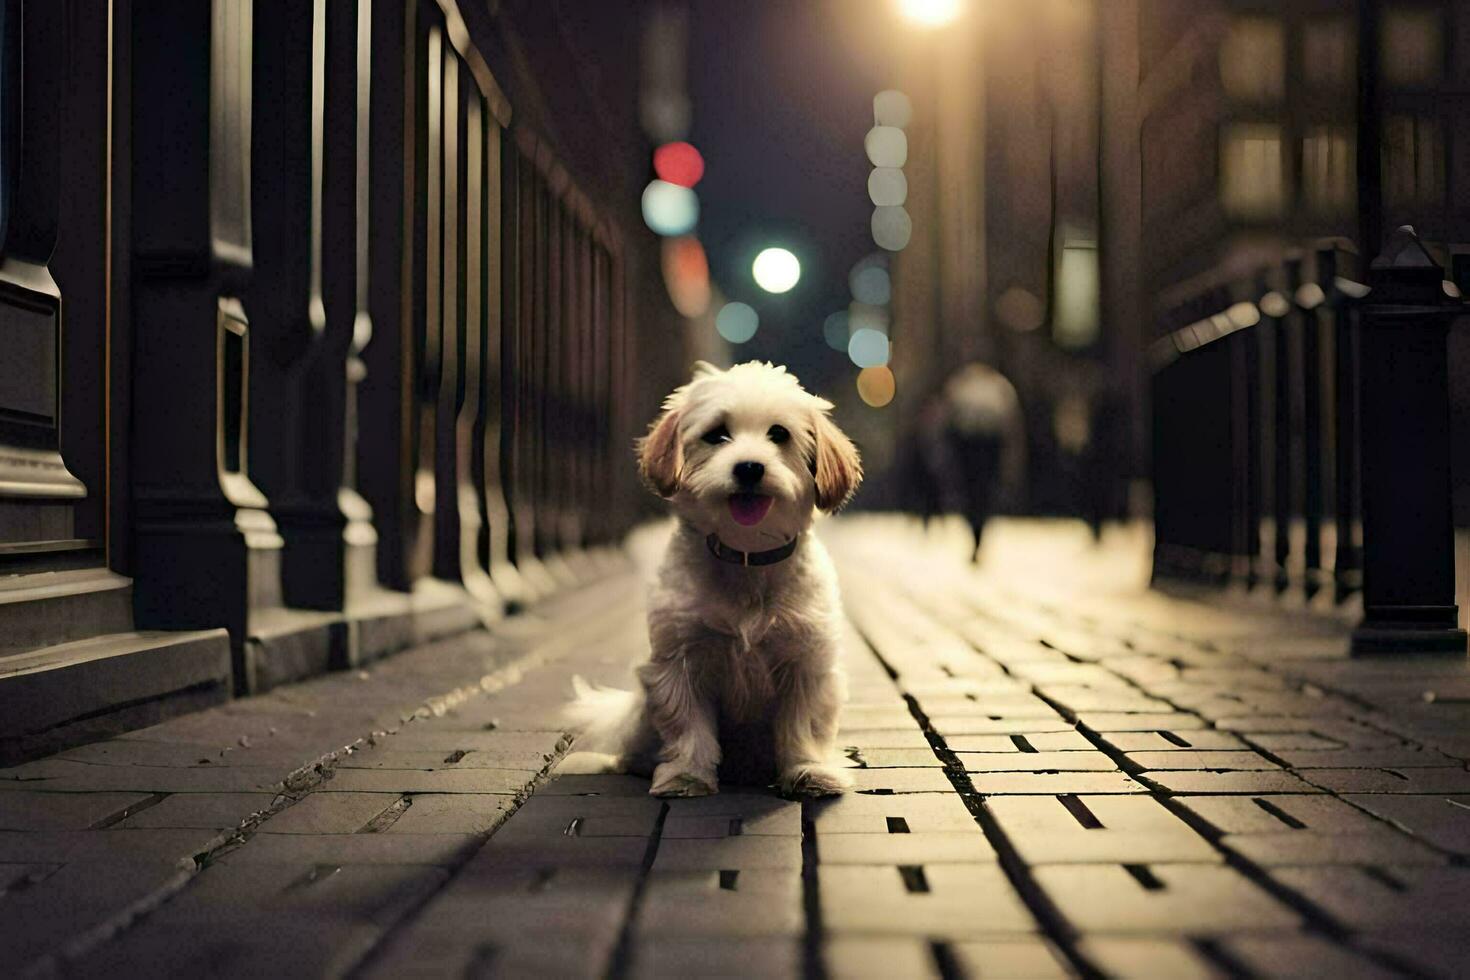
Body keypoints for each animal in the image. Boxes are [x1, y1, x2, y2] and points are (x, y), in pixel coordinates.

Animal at [561, 359, 858, 799]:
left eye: (779, 434)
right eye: (717, 434)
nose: (749, 467)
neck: (747, 559)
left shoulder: (805, 664)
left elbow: (803, 727)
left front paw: (809, 771)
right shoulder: (679, 664)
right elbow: (688, 727)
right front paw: (686, 775)